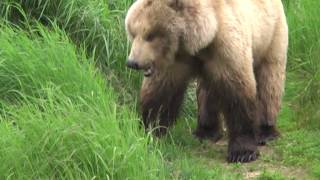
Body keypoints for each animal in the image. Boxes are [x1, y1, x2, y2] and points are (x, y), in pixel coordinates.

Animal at [124, 0, 288, 163]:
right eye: (133, 33)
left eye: (150, 35)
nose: (132, 62)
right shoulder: (174, 62)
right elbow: (161, 95)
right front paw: (150, 131)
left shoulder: (226, 49)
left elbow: (238, 95)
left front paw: (242, 152)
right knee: (207, 92)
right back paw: (206, 130)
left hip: (271, 35)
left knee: (269, 82)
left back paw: (266, 131)